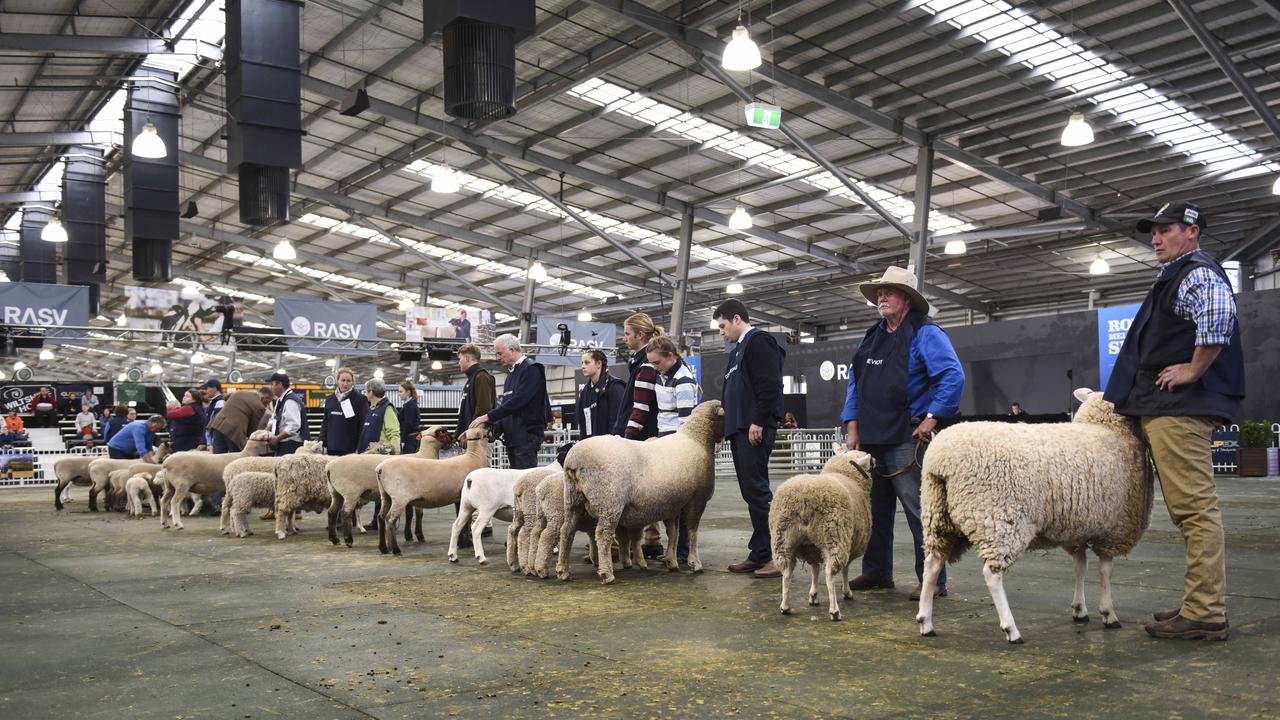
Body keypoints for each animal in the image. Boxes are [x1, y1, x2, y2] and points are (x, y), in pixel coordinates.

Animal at [373, 425, 488, 556]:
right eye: (442, 432)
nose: (454, 437)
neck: (474, 457)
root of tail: (380, 469)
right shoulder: (461, 497)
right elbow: (465, 522)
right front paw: (464, 543)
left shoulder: (458, 498)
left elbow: (464, 521)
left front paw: (464, 543)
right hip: (399, 498)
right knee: (390, 519)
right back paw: (396, 550)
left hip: (385, 496)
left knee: (381, 517)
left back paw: (383, 548)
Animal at [558, 397, 727, 584]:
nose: (724, 438)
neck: (697, 439)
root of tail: (574, 461)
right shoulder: (697, 499)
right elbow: (692, 532)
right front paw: (695, 563)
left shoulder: (672, 504)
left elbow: (673, 533)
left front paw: (671, 561)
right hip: (609, 502)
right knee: (602, 535)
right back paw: (607, 573)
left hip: (572, 501)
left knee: (566, 530)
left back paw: (563, 570)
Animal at [762, 445, 875, 620]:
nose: (875, 460)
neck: (846, 474)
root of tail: (804, 500)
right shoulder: (849, 543)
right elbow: (845, 569)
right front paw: (847, 592)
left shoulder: (811, 547)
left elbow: (815, 569)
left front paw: (813, 595)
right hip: (834, 536)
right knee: (829, 574)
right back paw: (834, 611)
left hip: (784, 539)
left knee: (786, 573)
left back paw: (785, 607)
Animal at [916, 384, 1157, 640]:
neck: (1108, 429)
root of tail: (941, 462)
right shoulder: (1114, 529)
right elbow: (1105, 571)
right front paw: (1108, 613)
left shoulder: (1077, 527)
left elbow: (1080, 567)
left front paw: (1079, 609)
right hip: (1000, 520)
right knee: (992, 574)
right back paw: (1011, 629)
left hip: (938, 517)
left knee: (932, 563)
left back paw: (926, 621)